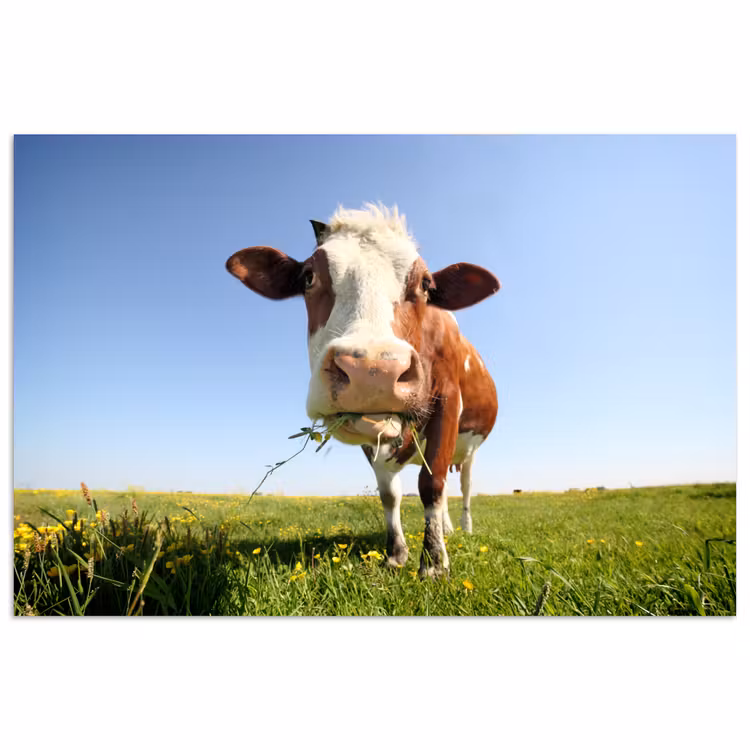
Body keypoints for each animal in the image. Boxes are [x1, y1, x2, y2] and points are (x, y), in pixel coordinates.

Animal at [226, 203, 500, 577]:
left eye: (426, 284)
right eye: (308, 277)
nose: (373, 371)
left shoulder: (447, 402)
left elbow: (431, 485)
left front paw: (433, 563)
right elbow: (390, 493)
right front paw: (397, 554)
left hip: (470, 449)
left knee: (463, 486)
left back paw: (463, 528)